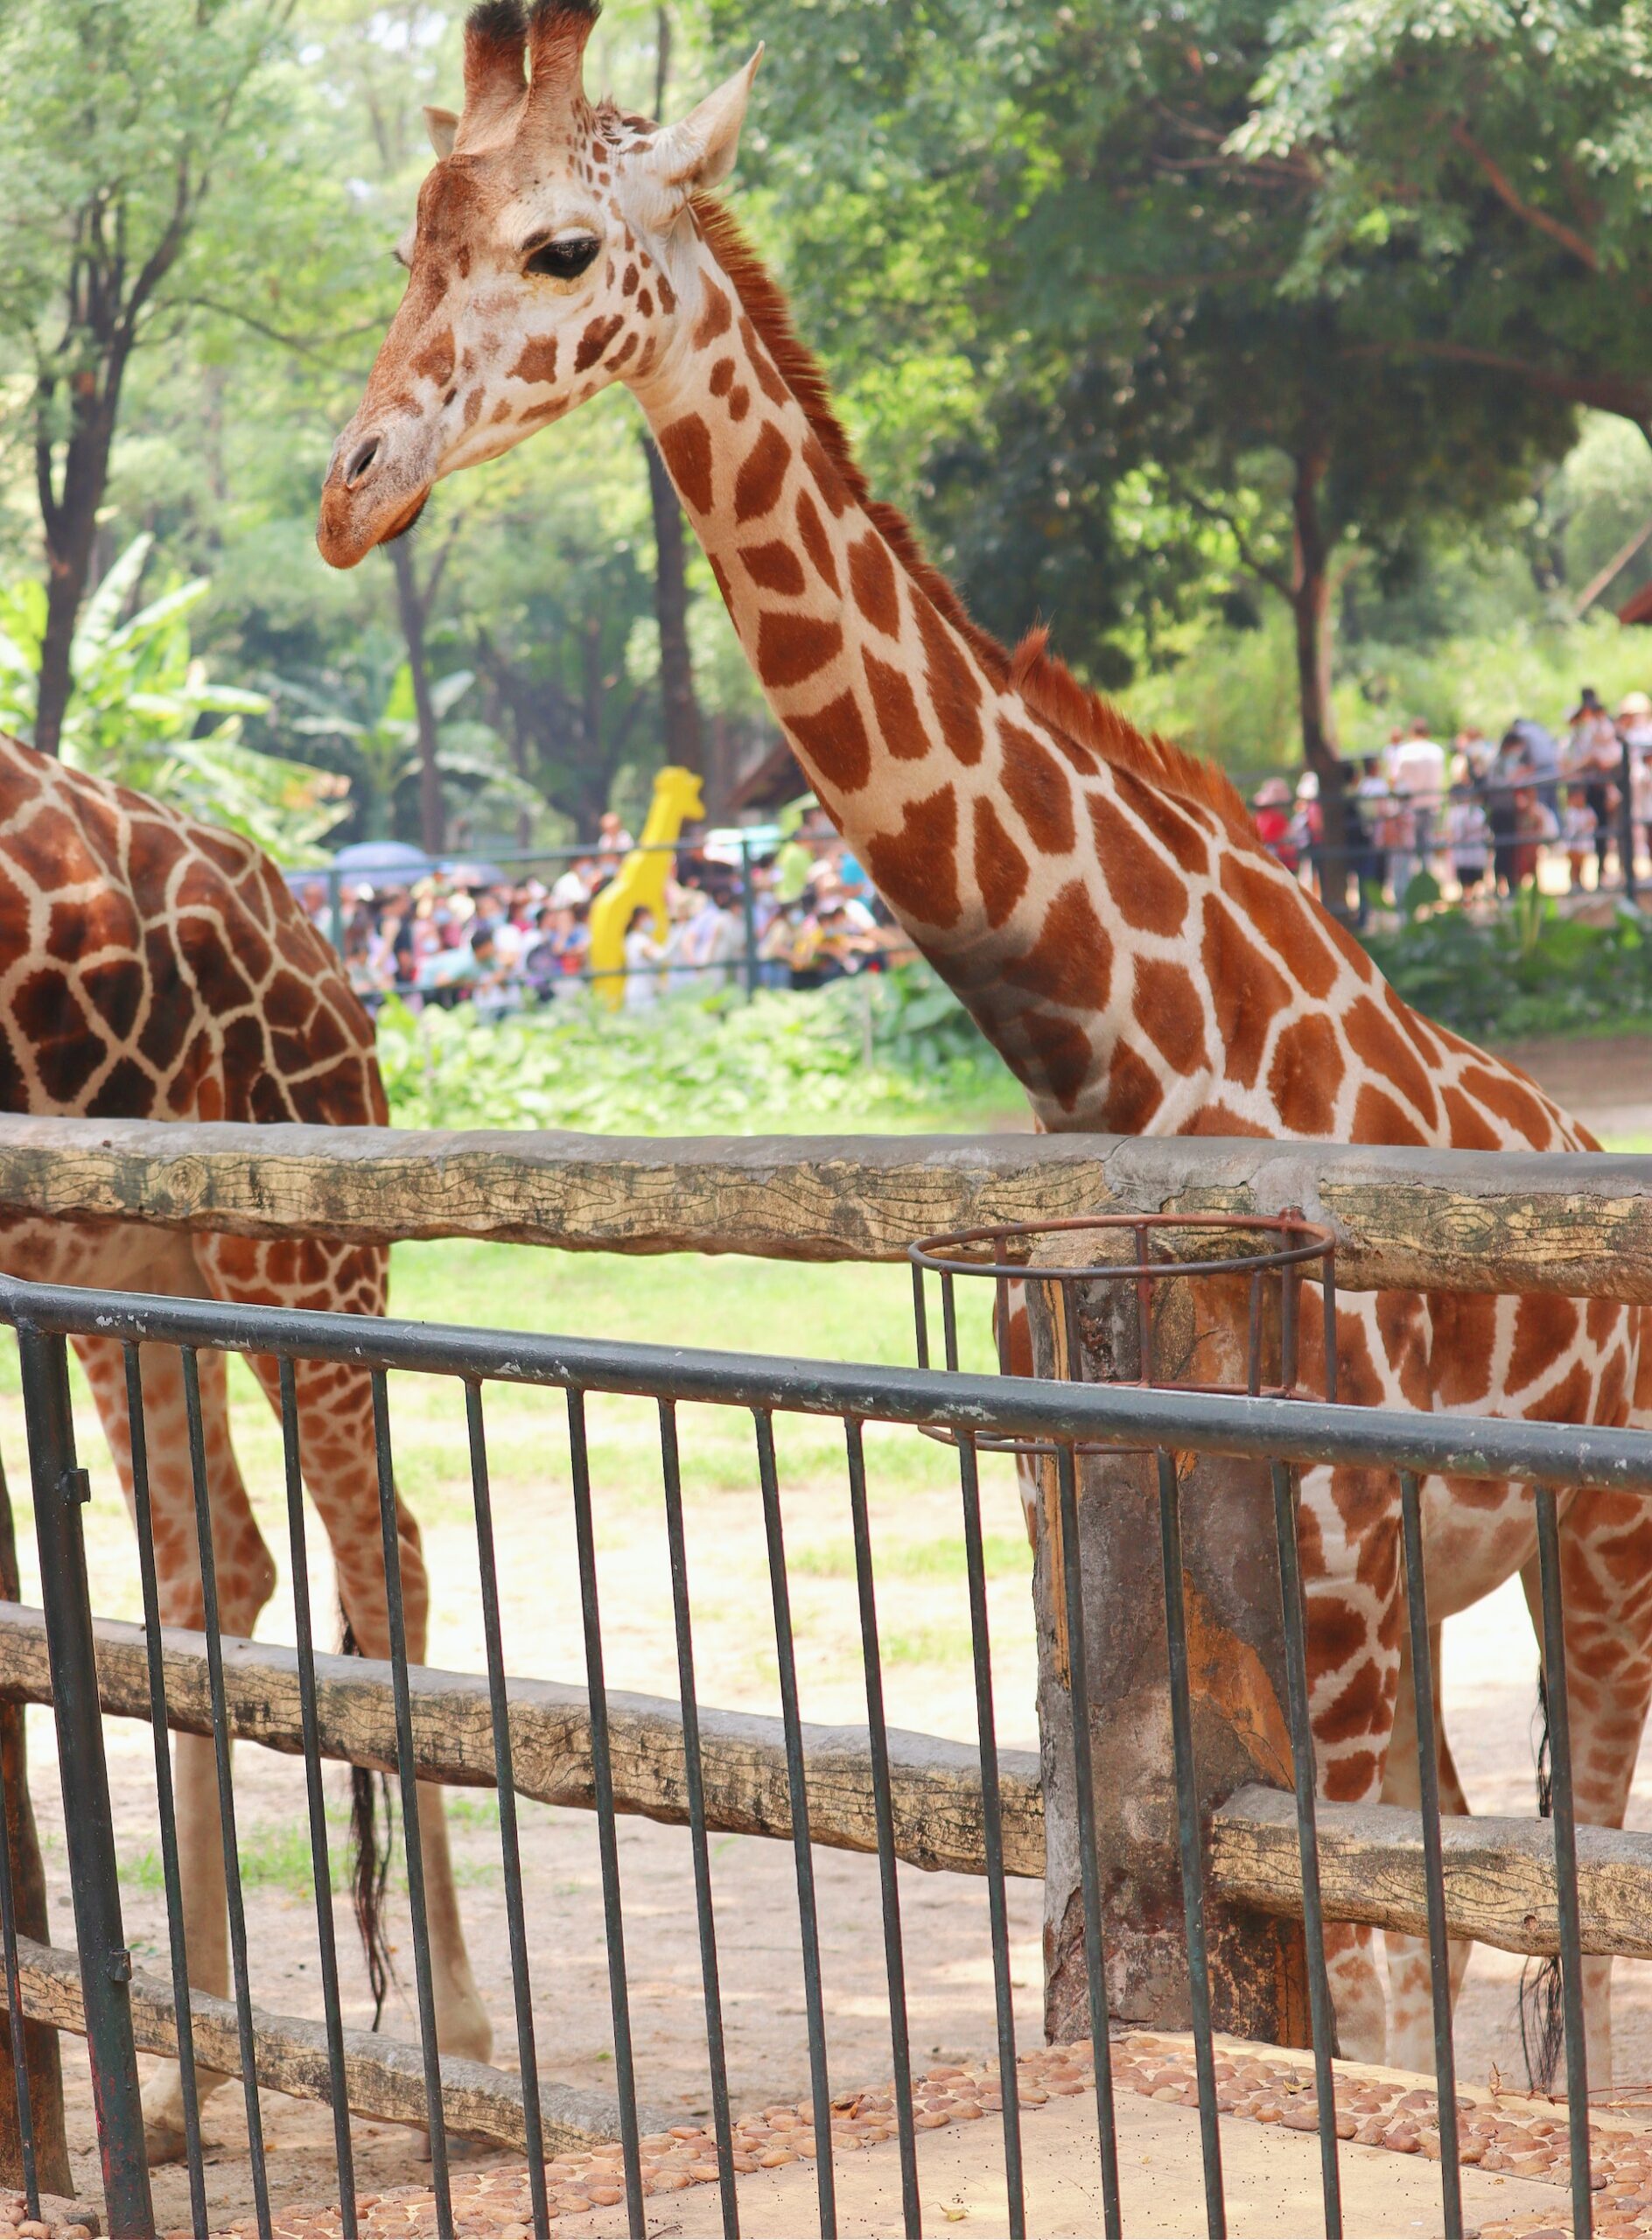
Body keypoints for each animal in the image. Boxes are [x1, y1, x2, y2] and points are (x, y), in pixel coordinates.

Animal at [0, 734, 487, 2150]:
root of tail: (328, 954)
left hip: (299, 1242)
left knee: (383, 1553)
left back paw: (456, 2049)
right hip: (129, 1264)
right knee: (217, 1566)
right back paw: (179, 2081)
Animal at [311, 0, 1647, 2069]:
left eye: (558, 249)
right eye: (408, 245)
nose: (352, 488)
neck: (1119, 1052)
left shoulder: (1336, 1587)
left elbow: (1366, 2012)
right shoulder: (1095, 1552)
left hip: (1589, 1555)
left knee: (1569, 1884)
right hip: (1435, 1599)